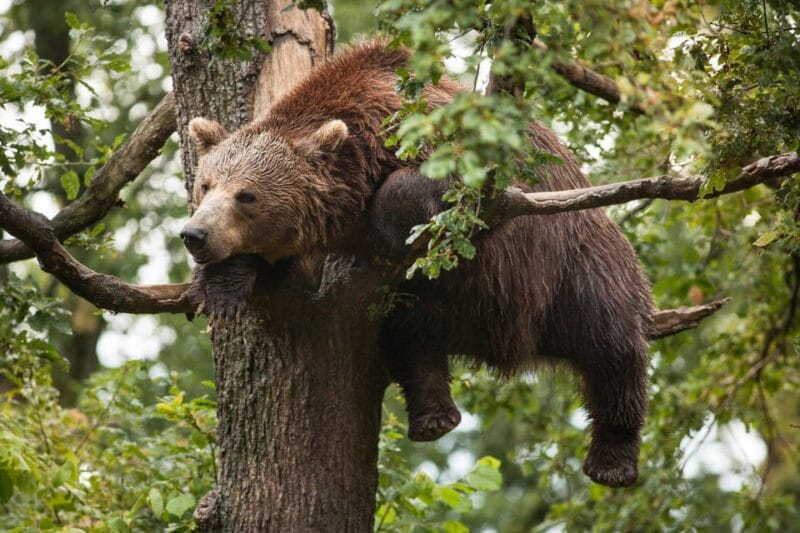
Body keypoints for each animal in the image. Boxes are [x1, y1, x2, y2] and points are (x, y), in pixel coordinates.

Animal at [181, 39, 653, 488]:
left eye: (246, 195)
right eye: (206, 184)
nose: (194, 234)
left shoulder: (444, 147)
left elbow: (437, 188)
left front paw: (389, 230)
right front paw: (219, 287)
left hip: (573, 263)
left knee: (612, 347)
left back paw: (612, 460)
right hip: (444, 300)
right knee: (411, 338)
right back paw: (433, 417)